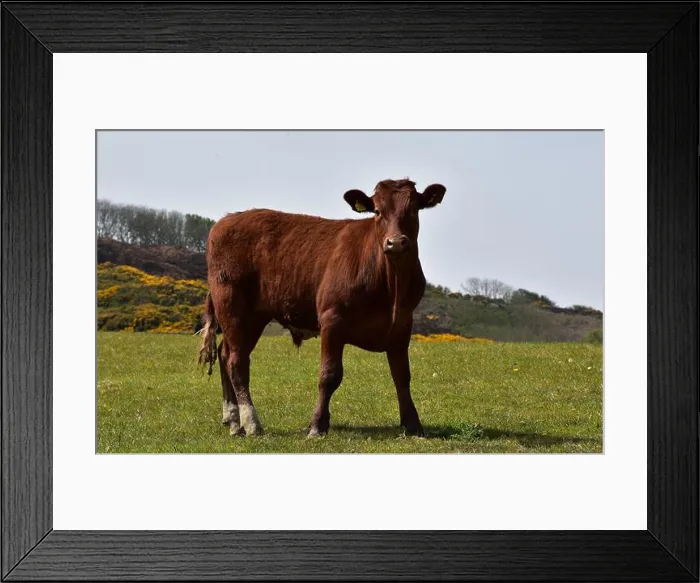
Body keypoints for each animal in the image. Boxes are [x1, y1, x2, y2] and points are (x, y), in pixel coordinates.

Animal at [197, 178, 447, 438]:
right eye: (377, 211)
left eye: (414, 209)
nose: (396, 242)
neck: (391, 286)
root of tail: (227, 219)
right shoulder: (332, 319)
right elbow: (329, 374)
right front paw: (317, 425)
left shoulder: (402, 324)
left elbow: (402, 375)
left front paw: (413, 424)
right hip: (231, 304)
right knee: (237, 361)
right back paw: (251, 422)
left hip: (253, 317)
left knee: (225, 354)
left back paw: (233, 420)